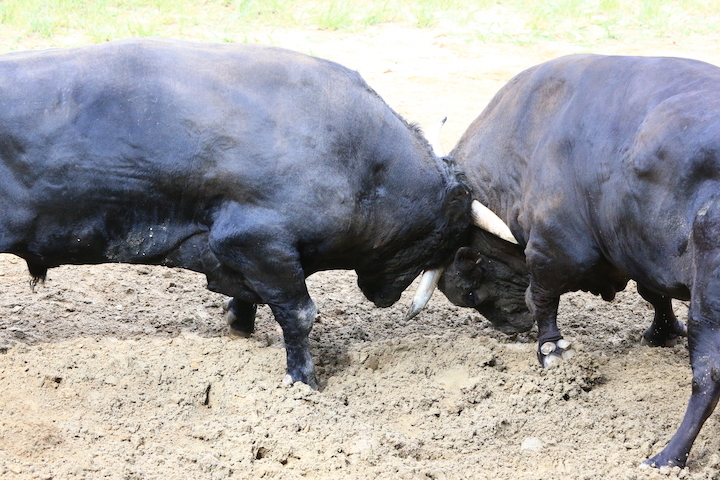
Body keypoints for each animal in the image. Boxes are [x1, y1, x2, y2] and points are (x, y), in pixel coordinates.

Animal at [0, 39, 472, 388]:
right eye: (449, 230)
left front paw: (240, 327)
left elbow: (251, 296)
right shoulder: (257, 240)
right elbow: (300, 311)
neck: (359, 156)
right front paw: (303, 381)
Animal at [442, 53, 720, 468]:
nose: (510, 327)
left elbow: (542, 298)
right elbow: (654, 295)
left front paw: (552, 351)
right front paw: (662, 333)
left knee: (707, 375)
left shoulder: (554, 249)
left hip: (710, 307)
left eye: (471, 293)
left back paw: (667, 457)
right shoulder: (636, 250)